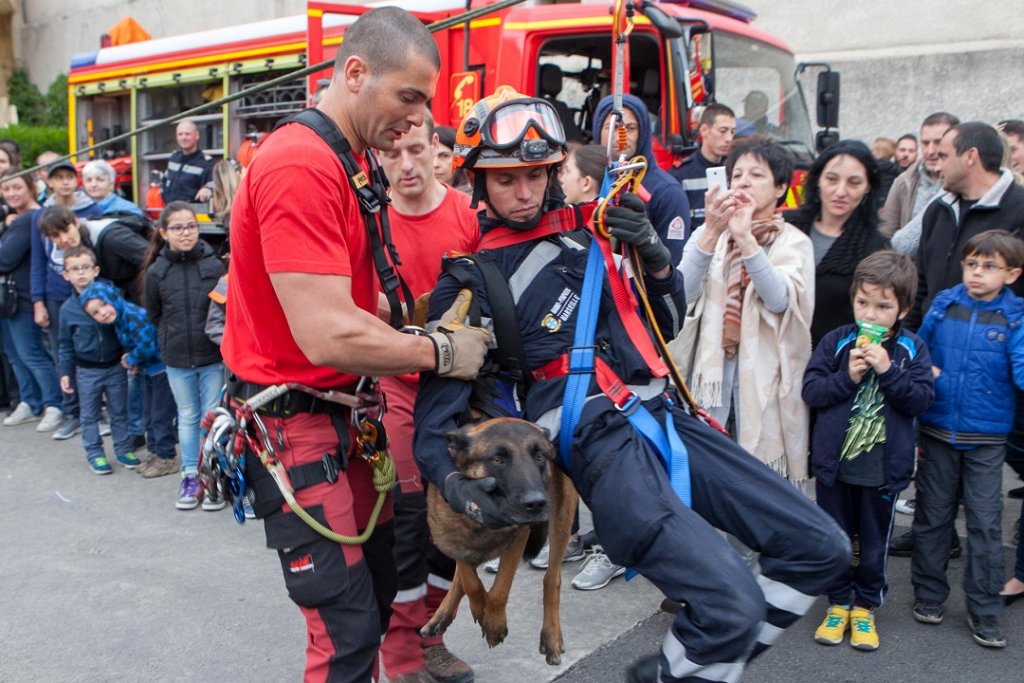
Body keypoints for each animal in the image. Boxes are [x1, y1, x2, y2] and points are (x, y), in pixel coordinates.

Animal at [421, 417, 581, 667]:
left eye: (539, 456)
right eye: (497, 460)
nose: (536, 503)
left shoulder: (519, 535)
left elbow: (500, 588)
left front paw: (494, 623)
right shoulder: (454, 536)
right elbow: (469, 579)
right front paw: (478, 606)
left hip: (562, 514)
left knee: (552, 578)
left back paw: (551, 636)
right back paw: (443, 613)